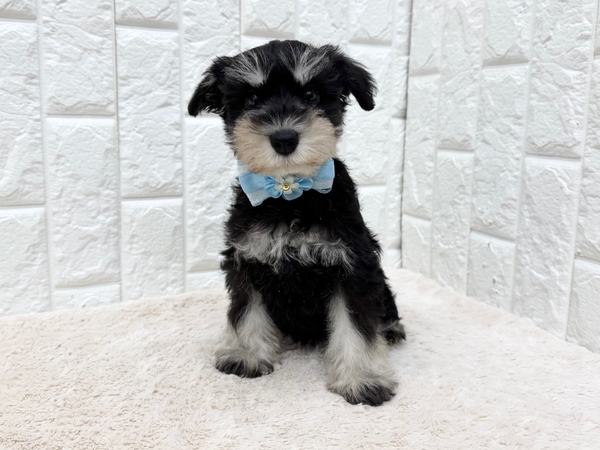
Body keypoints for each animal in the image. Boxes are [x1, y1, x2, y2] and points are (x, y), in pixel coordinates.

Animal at [188, 40, 405, 406]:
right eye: (251, 99)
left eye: (312, 95)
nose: (285, 138)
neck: (290, 196)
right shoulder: (246, 260)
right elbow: (246, 312)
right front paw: (245, 355)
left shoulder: (353, 266)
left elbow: (356, 326)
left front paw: (364, 379)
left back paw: (390, 329)